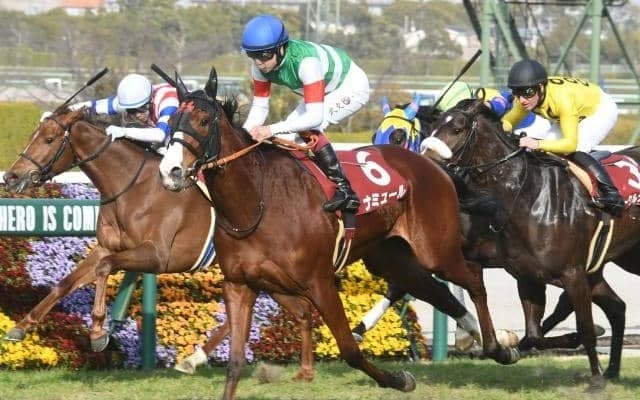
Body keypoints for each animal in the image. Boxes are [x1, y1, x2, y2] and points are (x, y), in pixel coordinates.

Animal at [1, 106, 317, 380]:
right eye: (33, 135)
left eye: (49, 139)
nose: (12, 176)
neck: (131, 187)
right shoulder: (107, 247)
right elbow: (66, 283)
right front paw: (21, 327)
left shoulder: (157, 256)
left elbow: (105, 268)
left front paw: (98, 332)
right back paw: (197, 359)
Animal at [157, 67, 519, 399]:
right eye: (172, 119)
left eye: (204, 120)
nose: (169, 171)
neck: (256, 202)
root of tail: (434, 165)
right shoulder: (239, 284)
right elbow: (234, 363)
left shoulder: (320, 282)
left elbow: (349, 349)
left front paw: (399, 379)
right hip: (391, 257)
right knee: (435, 291)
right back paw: (483, 339)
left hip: (436, 249)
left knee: (472, 277)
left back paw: (499, 346)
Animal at [422, 98, 638, 389]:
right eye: (433, 126)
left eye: (457, 128)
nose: (425, 163)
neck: (527, 196)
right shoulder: (528, 276)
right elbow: (534, 334)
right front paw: (510, 347)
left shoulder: (573, 274)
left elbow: (583, 327)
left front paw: (595, 379)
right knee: (617, 308)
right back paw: (613, 371)